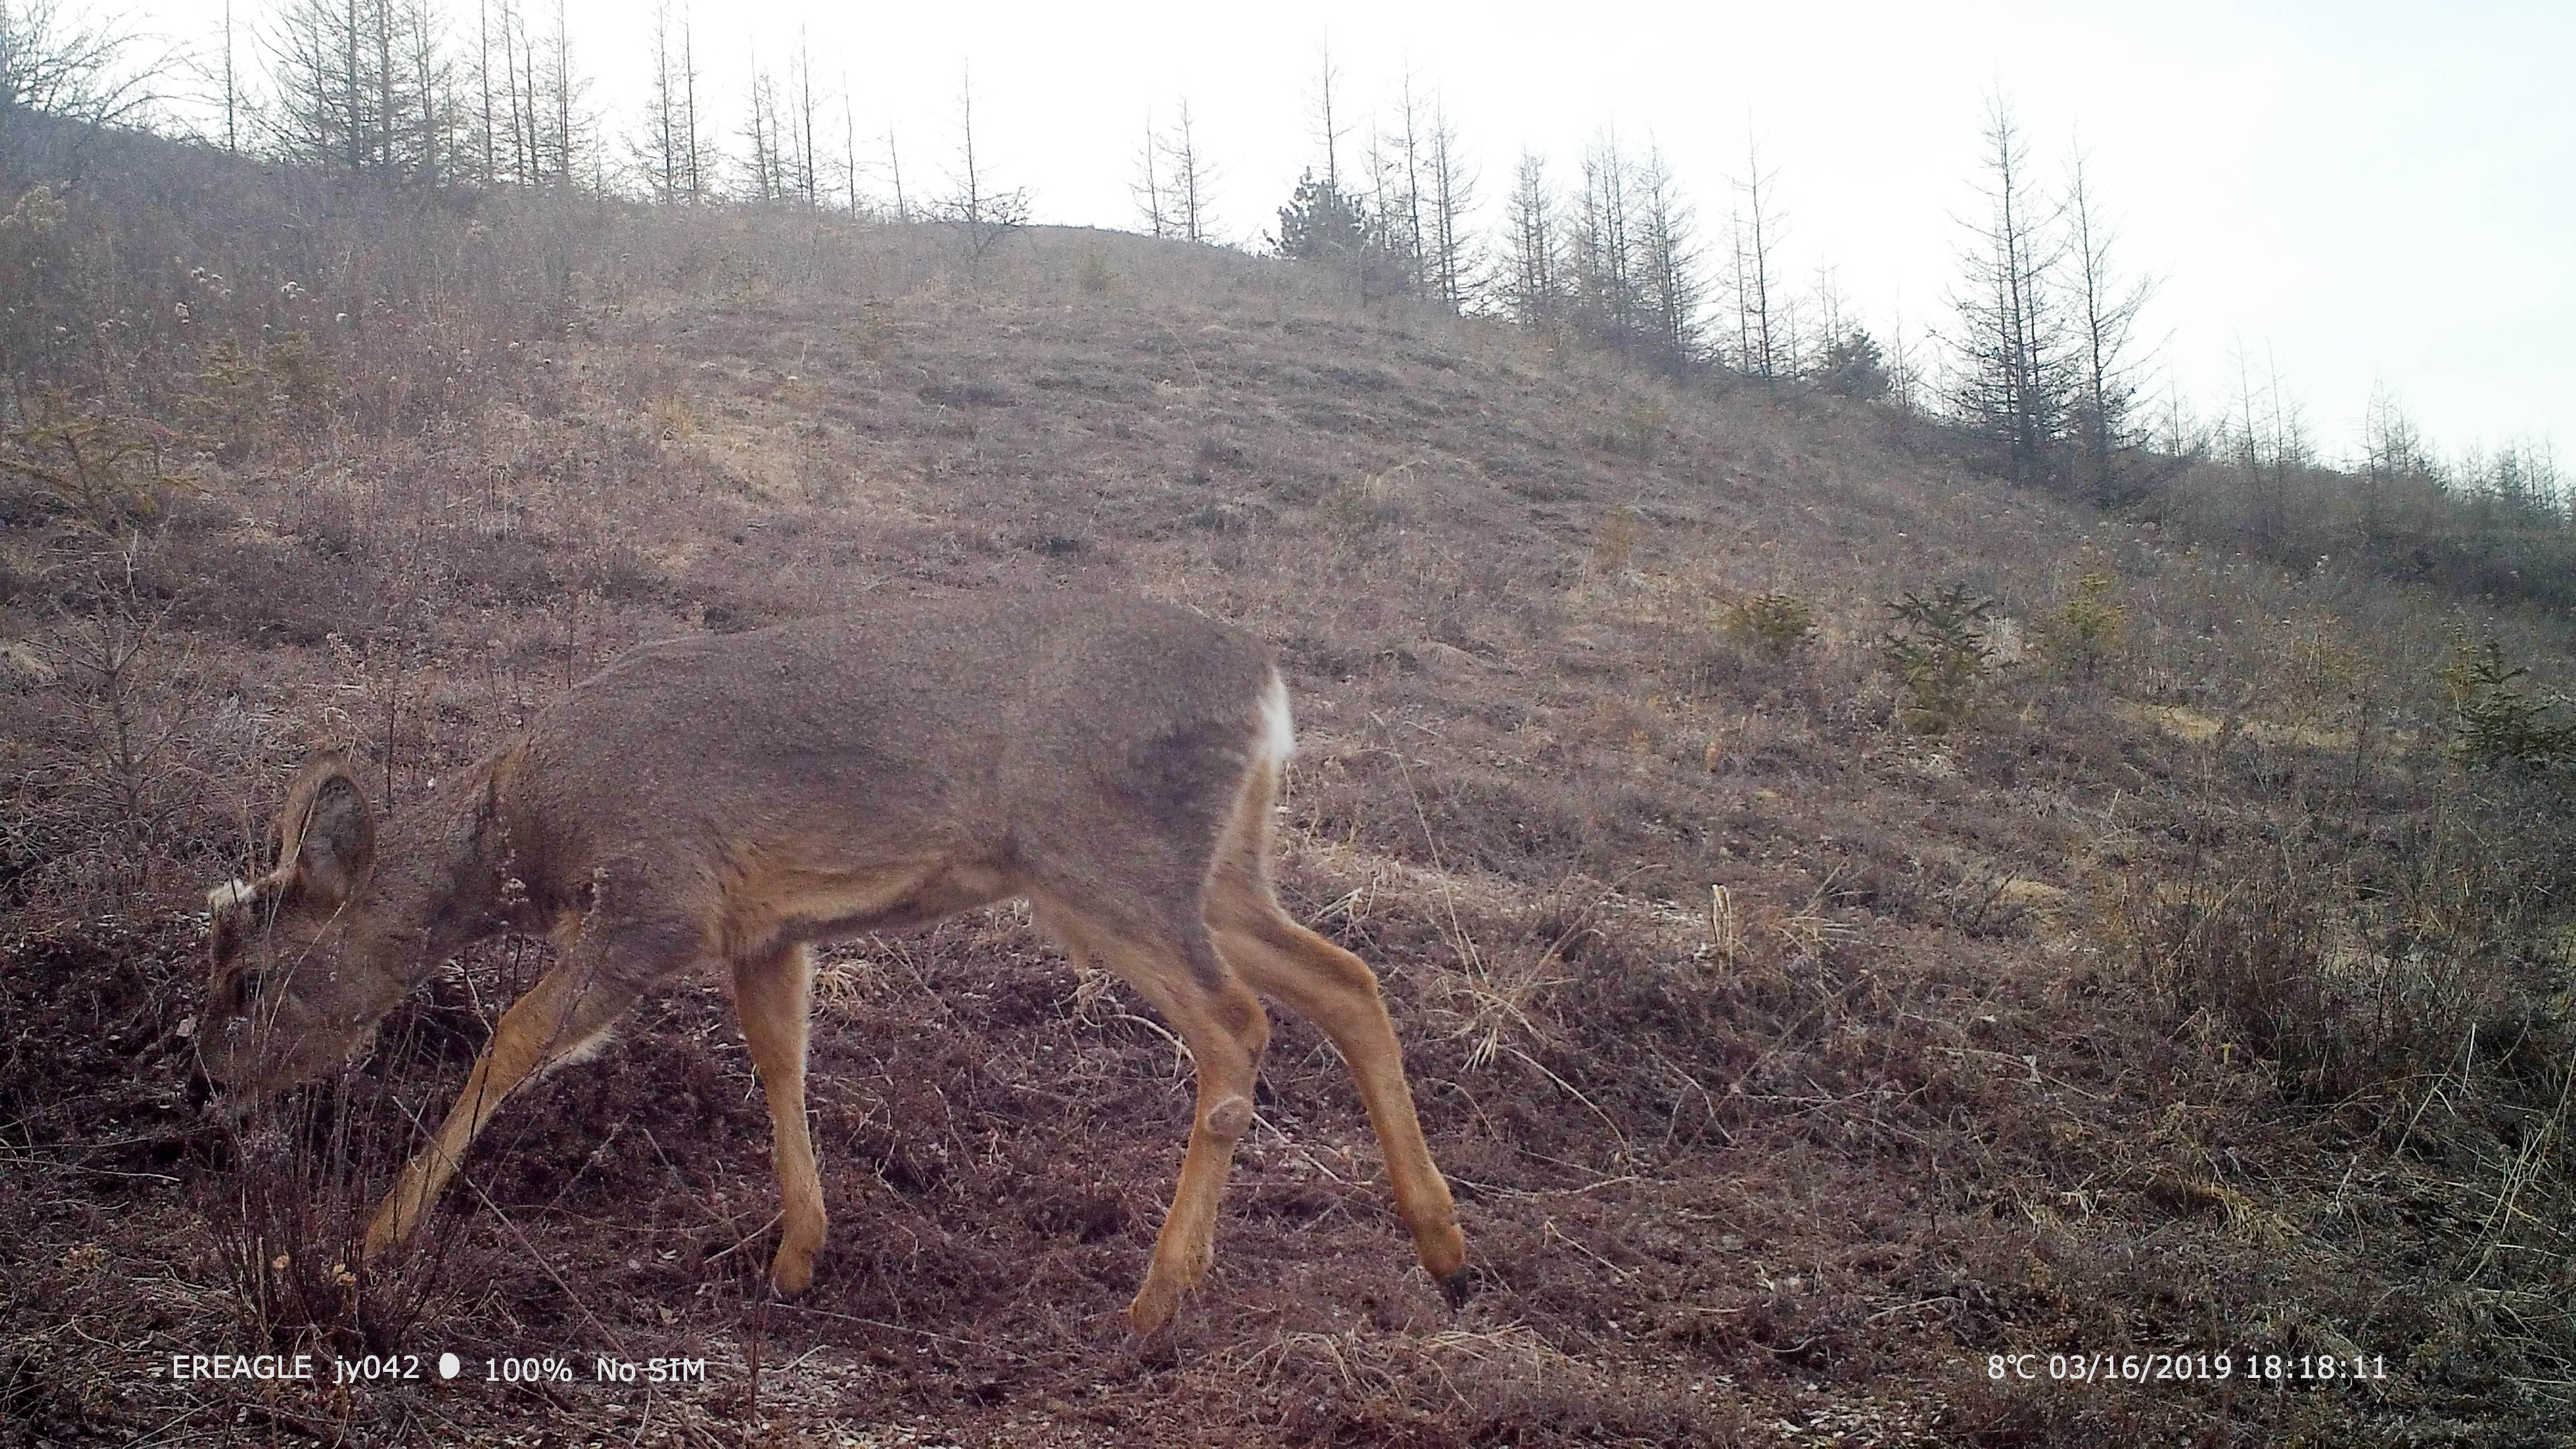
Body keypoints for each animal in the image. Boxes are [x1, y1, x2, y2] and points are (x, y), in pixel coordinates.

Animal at [201, 593, 1473, 1330]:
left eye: (249, 976)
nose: (207, 1078)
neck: (521, 830)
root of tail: (1268, 690)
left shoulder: (659, 900)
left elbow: (513, 1041)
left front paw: (364, 1246)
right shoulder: (763, 930)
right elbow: (781, 1063)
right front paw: (799, 1255)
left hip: (1103, 858)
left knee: (1239, 1024)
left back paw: (1161, 1294)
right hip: (1218, 868)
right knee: (1348, 982)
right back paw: (1444, 1248)